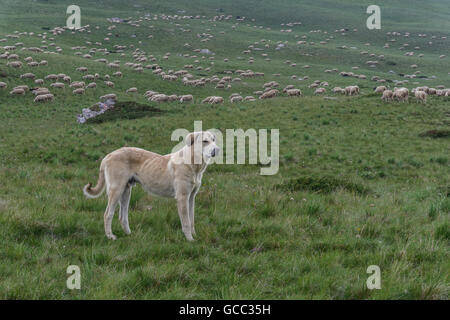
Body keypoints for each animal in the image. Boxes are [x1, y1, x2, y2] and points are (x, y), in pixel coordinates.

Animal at [83, 131, 221, 240]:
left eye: (214, 140)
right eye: (205, 141)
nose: (217, 149)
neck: (193, 164)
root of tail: (108, 155)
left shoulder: (191, 197)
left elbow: (191, 220)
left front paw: (194, 236)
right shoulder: (182, 197)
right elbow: (186, 222)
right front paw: (190, 240)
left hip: (126, 191)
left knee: (123, 217)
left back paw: (129, 234)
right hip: (116, 190)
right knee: (108, 214)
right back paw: (110, 236)